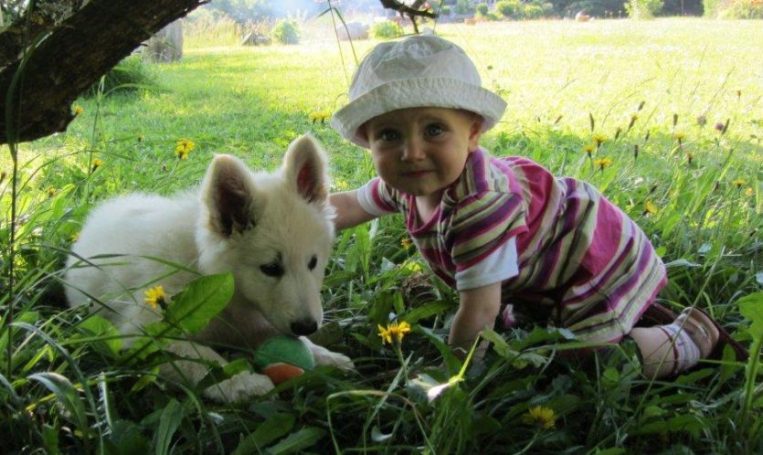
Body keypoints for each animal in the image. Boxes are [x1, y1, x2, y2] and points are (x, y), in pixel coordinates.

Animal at [65, 134, 352, 402]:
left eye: (312, 263)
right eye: (270, 268)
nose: (308, 326)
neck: (204, 267)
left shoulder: (249, 319)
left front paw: (325, 356)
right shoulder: (143, 331)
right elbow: (199, 357)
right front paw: (239, 381)